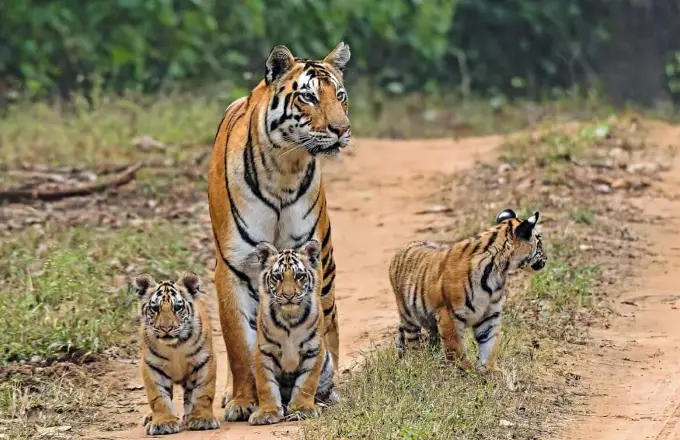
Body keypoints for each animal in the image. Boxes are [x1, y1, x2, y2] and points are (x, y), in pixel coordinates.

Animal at [134, 272, 219, 435]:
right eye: (155, 308)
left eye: (178, 307)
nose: (166, 328)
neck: (175, 346)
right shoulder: (151, 365)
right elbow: (158, 397)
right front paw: (163, 422)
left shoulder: (204, 360)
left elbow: (203, 392)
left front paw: (202, 419)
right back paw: (151, 417)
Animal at [245, 240, 337, 425]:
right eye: (277, 277)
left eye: (299, 276)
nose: (288, 295)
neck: (289, 318)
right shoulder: (264, 350)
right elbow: (266, 384)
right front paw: (267, 413)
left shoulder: (313, 349)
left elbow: (306, 382)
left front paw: (302, 409)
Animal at [388, 209, 547, 371]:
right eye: (539, 243)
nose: (546, 259)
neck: (498, 269)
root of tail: (405, 246)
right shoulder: (448, 314)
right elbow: (455, 347)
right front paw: (464, 369)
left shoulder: (490, 315)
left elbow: (489, 343)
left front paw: (489, 370)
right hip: (409, 317)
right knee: (413, 343)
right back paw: (417, 363)